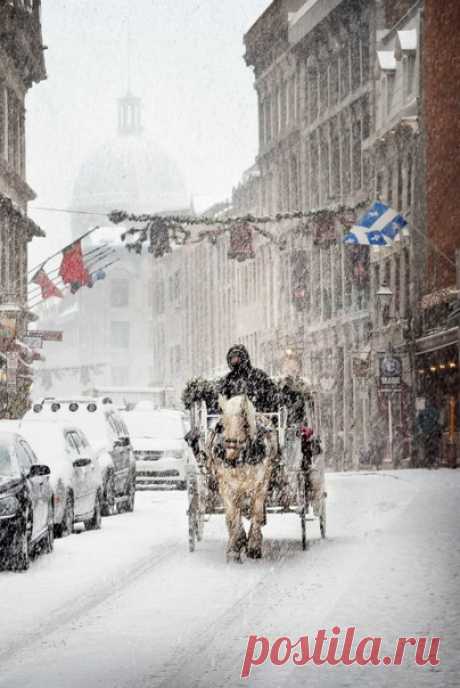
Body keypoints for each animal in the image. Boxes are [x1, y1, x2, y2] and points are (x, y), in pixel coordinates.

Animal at [208, 396, 276, 560]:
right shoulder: (226, 487)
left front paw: (254, 546)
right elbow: (233, 516)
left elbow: (257, 514)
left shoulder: (260, 486)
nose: (230, 456)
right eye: (221, 426)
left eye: (245, 424)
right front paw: (235, 547)